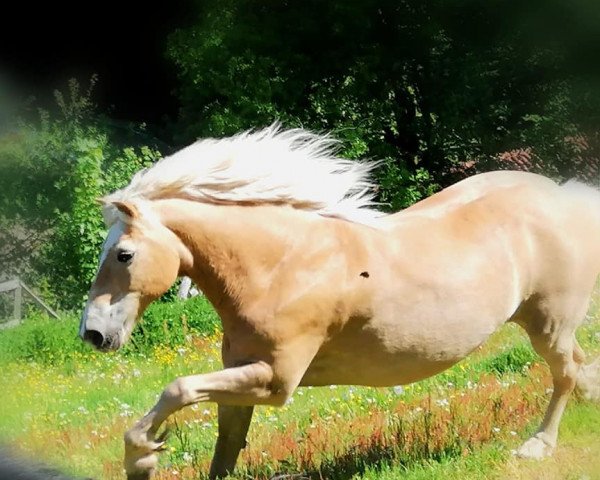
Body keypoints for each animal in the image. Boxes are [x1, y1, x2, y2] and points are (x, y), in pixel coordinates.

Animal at [79, 125, 600, 478]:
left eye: (123, 254)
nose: (94, 333)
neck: (283, 265)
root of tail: (566, 198)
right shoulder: (241, 376)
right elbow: (225, 446)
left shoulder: (275, 382)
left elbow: (178, 388)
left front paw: (143, 457)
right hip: (547, 324)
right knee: (578, 365)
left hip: (548, 324)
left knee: (564, 372)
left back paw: (537, 445)